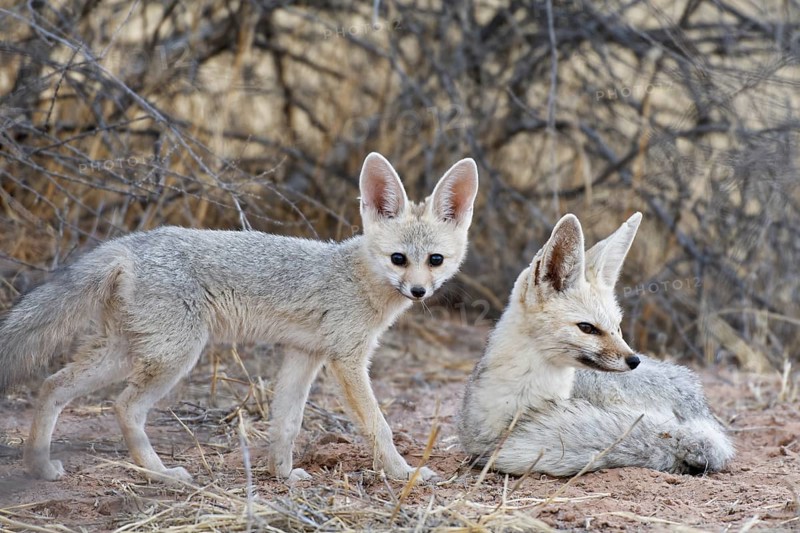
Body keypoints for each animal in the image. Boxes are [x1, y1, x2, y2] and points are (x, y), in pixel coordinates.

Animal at [0, 152, 479, 484]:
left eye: (435, 260)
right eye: (399, 259)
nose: (419, 292)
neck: (357, 276)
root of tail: (131, 243)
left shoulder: (304, 353)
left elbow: (286, 422)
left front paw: (282, 474)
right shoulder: (347, 360)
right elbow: (379, 426)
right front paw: (404, 473)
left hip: (125, 352)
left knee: (52, 385)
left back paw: (39, 466)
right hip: (174, 356)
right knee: (124, 406)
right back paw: (159, 473)